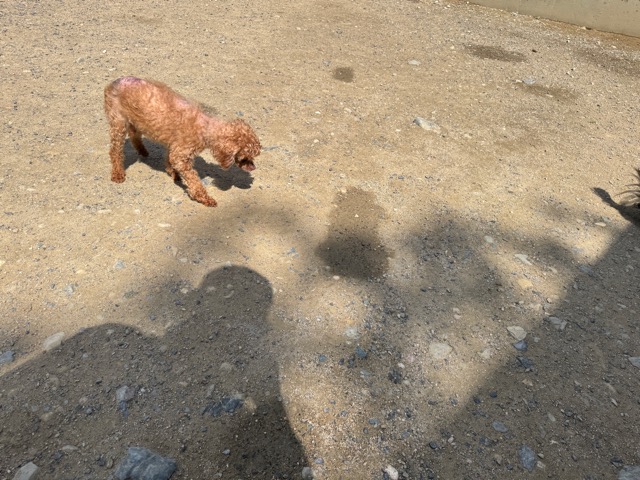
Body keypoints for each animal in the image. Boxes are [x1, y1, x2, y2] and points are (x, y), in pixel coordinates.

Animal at [104, 76, 260, 207]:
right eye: (245, 157)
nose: (253, 167)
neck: (205, 127)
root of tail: (115, 82)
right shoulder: (181, 155)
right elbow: (194, 180)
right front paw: (204, 198)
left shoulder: (174, 147)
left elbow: (169, 161)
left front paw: (173, 173)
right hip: (118, 123)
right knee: (115, 151)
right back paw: (118, 174)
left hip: (135, 120)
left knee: (134, 134)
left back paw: (142, 150)